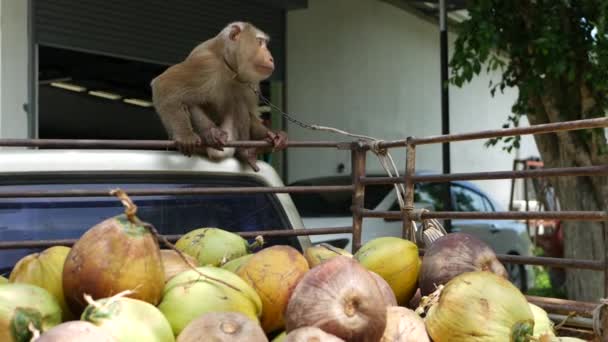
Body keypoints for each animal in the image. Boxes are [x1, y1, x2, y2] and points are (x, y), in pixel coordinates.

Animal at [151, 21, 286, 171]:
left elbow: (251, 113)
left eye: (264, 43)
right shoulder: (205, 62)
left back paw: (247, 151)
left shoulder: (251, 82)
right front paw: (185, 135)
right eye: (260, 42)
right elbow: (165, 84)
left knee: (238, 100)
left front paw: (272, 135)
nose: (271, 58)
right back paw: (216, 136)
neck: (228, 65)